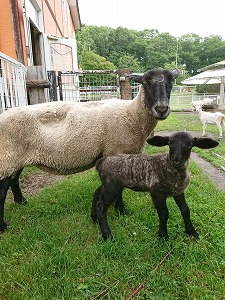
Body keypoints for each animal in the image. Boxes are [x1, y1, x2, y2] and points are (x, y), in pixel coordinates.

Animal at [0, 68, 179, 232]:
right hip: (7, 156)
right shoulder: (115, 152)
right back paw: (3, 226)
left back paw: (21, 201)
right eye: (145, 81)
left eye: (171, 81)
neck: (133, 115)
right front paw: (121, 211)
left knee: (14, 179)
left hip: (17, 157)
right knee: (3, 189)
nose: (162, 109)